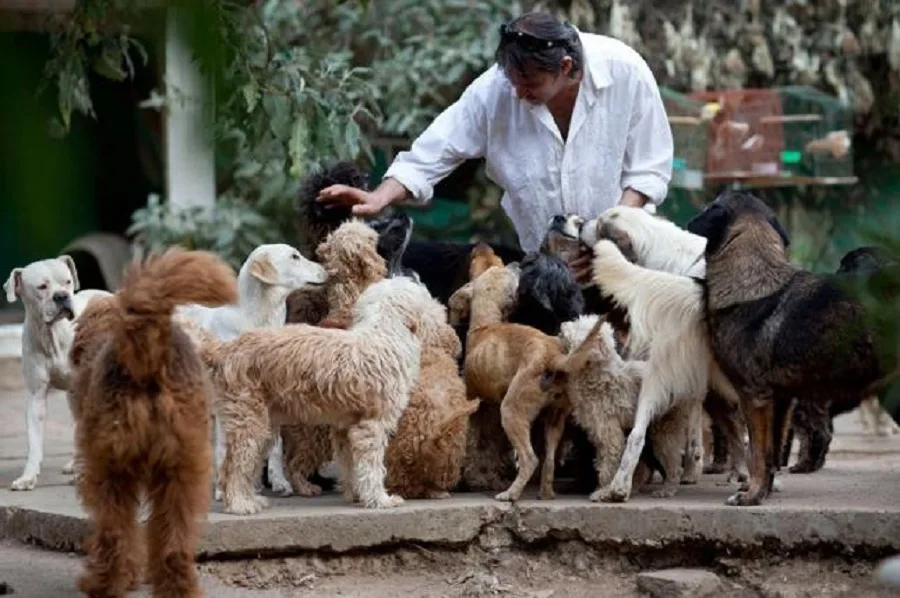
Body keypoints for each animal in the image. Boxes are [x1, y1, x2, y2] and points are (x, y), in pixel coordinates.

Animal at [3, 256, 112, 492]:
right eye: (41, 287)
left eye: (67, 282)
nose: (61, 296)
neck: (52, 334)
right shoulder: (36, 396)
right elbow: (34, 442)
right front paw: (28, 477)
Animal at [71, 248, 236, 598]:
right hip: (183, 467)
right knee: (175, 540)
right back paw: (178, 587)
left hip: (109, 467)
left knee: (113, 532)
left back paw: (102, 584)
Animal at [176, 244, 326, 502]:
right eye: (294, 257)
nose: (326, 270)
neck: (258, 319)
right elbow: (226, 448)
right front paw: (223, 490)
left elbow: (274, 446)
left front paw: (277, 482)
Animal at [684, 191, 888, 506]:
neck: (752, 283)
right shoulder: (779, 402)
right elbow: (770, 455)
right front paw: (763, 492)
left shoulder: (754, 398)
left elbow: (757, 454)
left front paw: (750, 496)